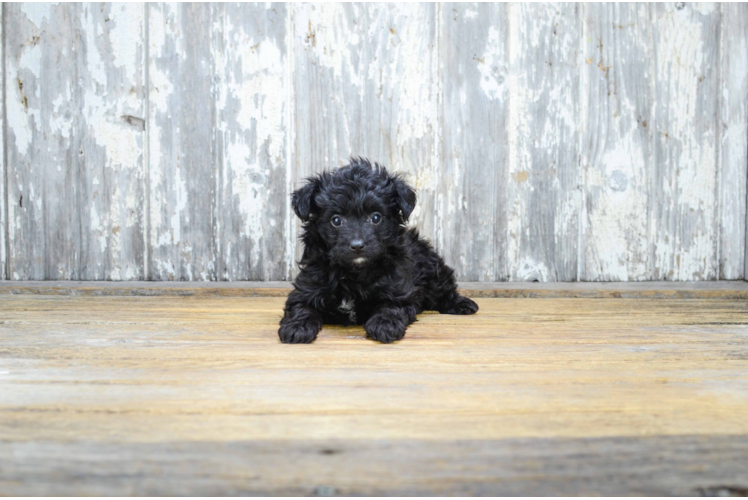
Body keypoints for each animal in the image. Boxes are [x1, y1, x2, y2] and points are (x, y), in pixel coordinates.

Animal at [280, 159, 480, 344]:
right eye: (336, 220)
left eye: (376, 217)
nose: (357, 245)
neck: (353, 273)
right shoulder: (306, 289)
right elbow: (301, 307)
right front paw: (297, 327)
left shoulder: (400, 291)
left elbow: (391, 306)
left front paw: (385, 324)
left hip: (433, 271)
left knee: (444, 291)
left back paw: (462, 304)